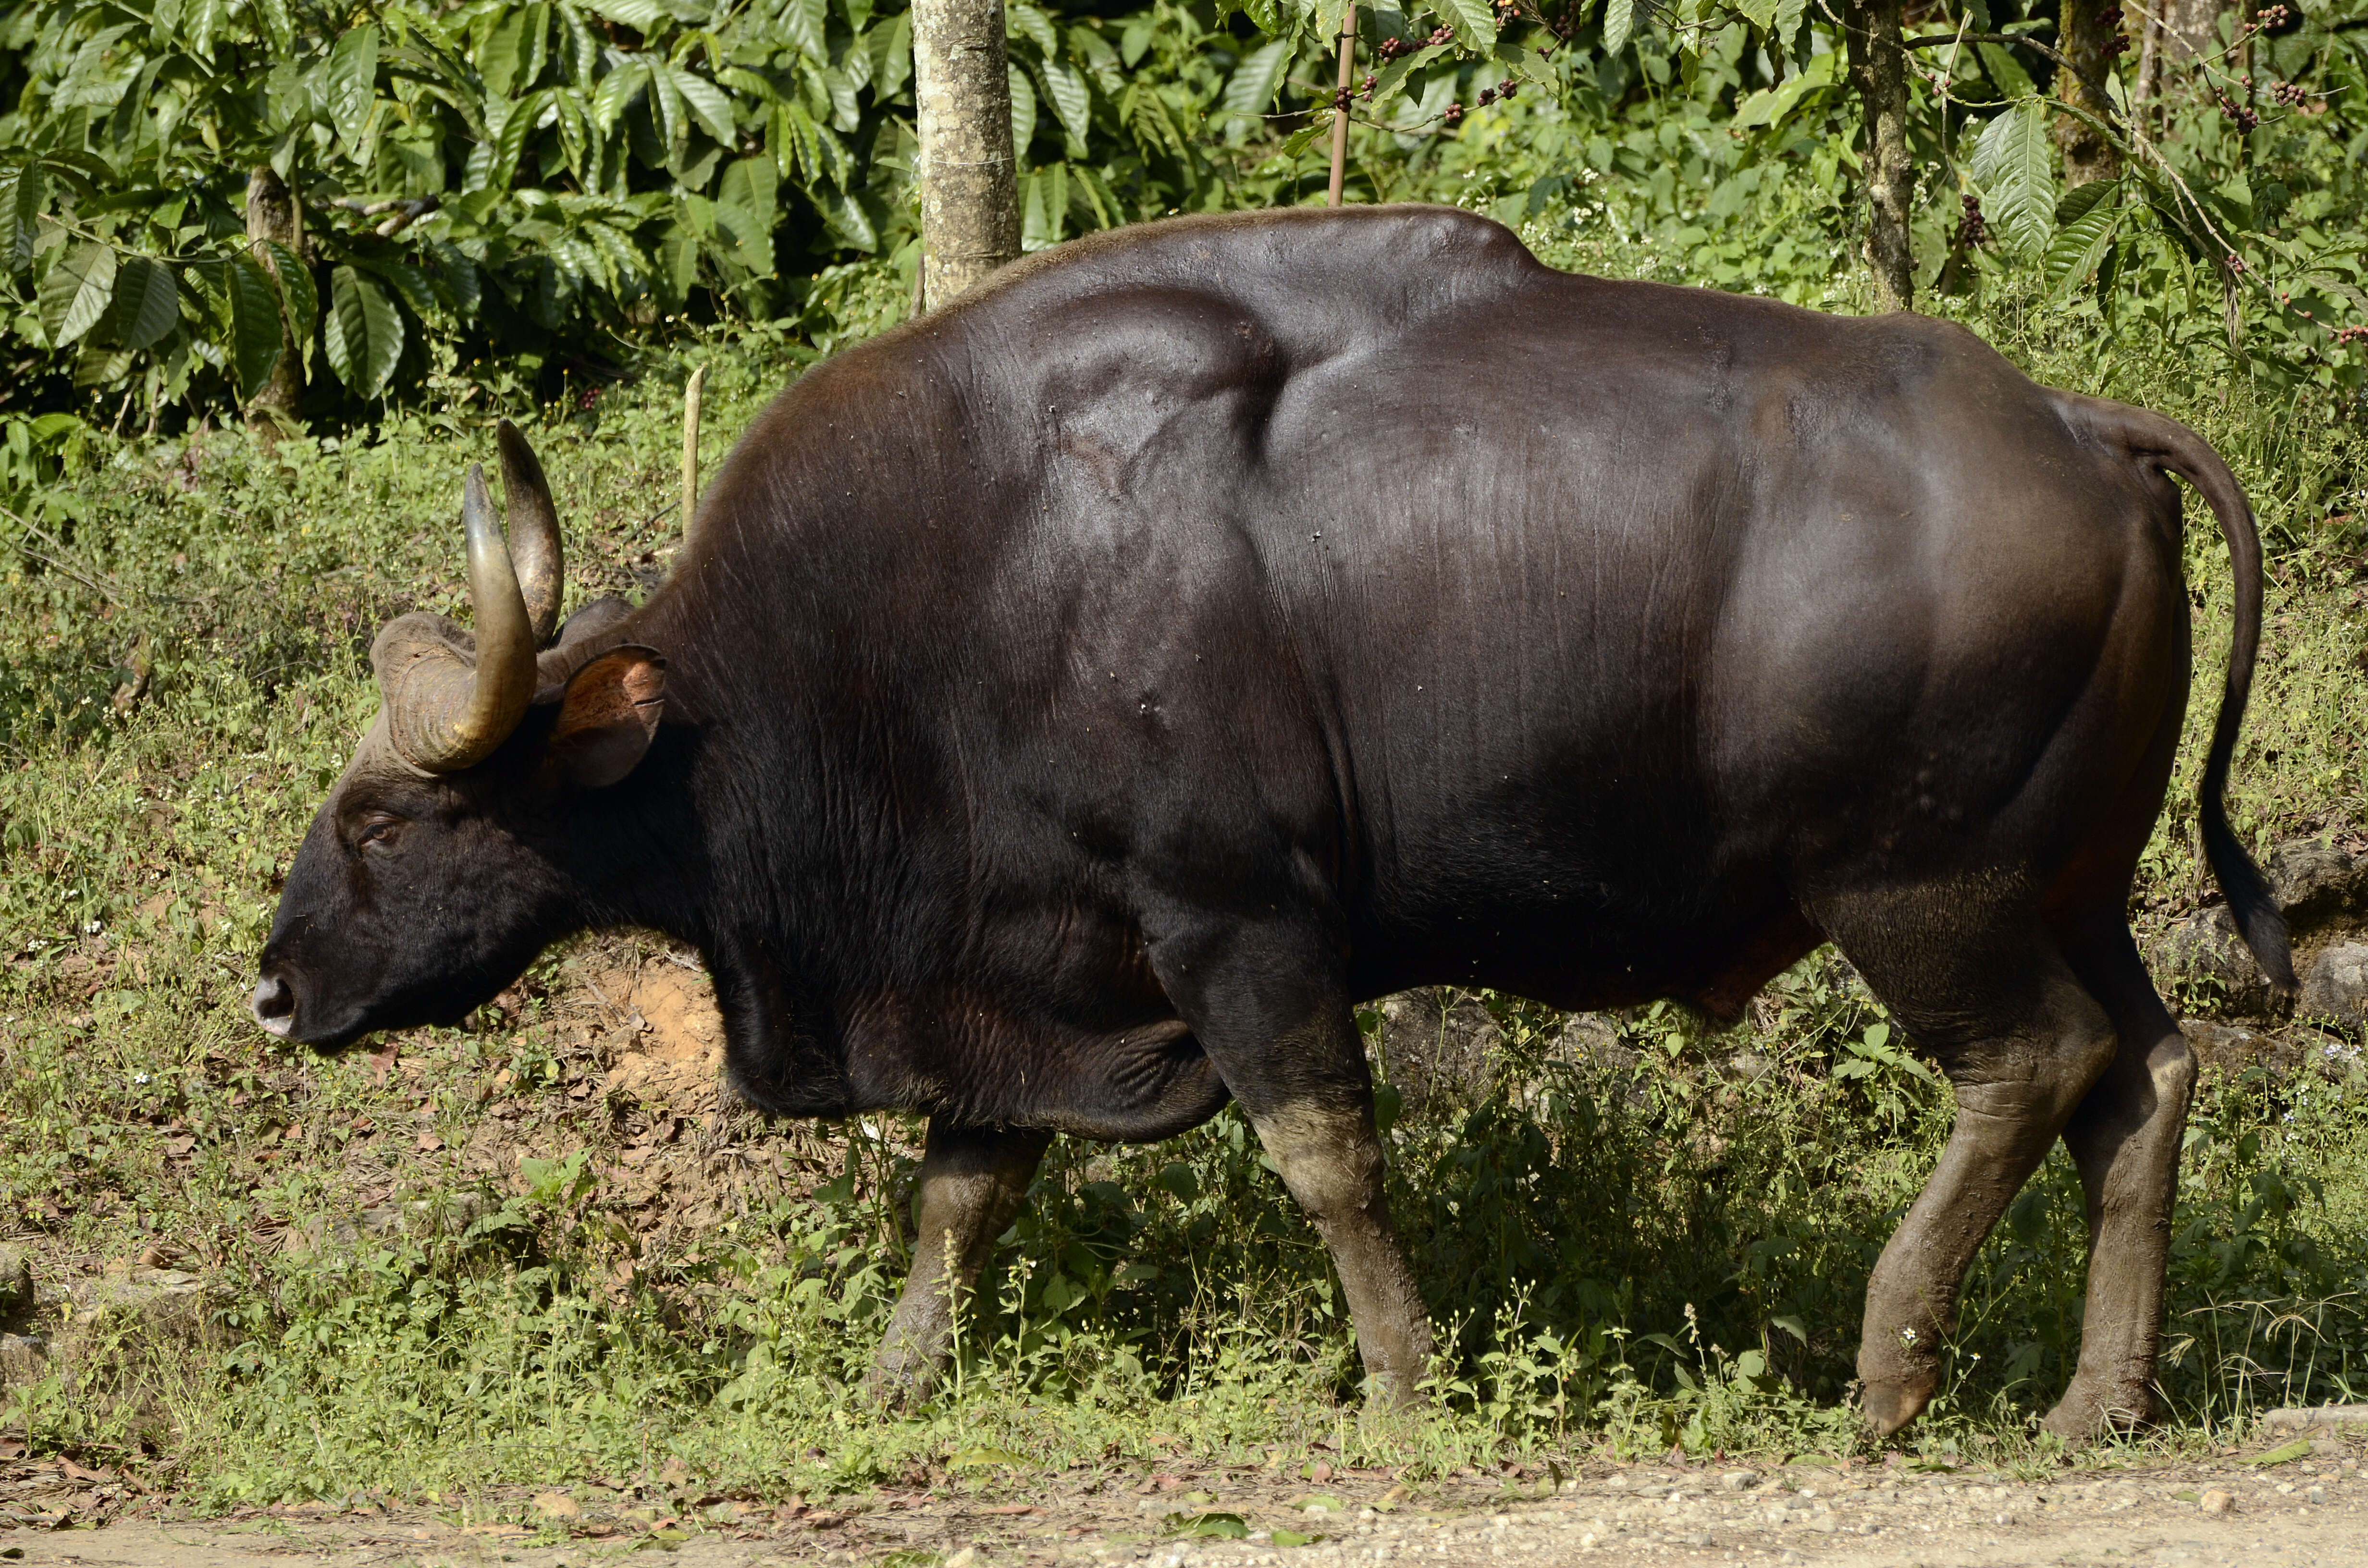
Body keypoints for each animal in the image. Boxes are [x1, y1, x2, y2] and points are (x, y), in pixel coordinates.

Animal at [254, 206, 2292, 1440]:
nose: (273, 987)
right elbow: (963, 1192)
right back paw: (2098, 1395)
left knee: (2027, 1066)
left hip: (1918, 890)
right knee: (2147, 1072)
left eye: (387, 814)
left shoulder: (1234, 922)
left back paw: (1886, 1371)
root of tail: (2080, 425)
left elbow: (1324, 1156)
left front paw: (1398, 1383)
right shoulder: (1022, 957)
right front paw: (897, 1380)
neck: (961, 583)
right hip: (2072, 885)